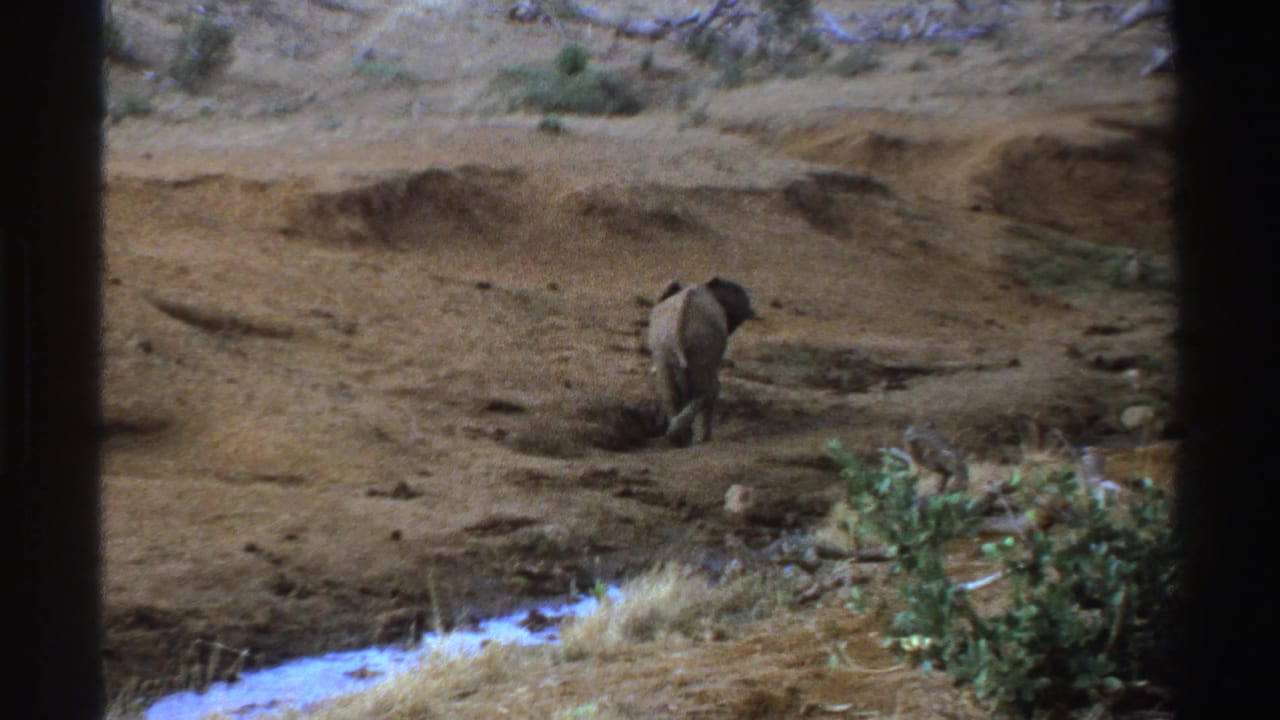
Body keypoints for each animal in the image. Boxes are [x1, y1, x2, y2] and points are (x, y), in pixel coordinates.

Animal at [646, 277, 754, 447]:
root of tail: (678, 334)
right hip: (702, 349)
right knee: (709, 390)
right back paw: (690, 438)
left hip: (665, 348)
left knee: (669, 393)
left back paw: (678, 439)